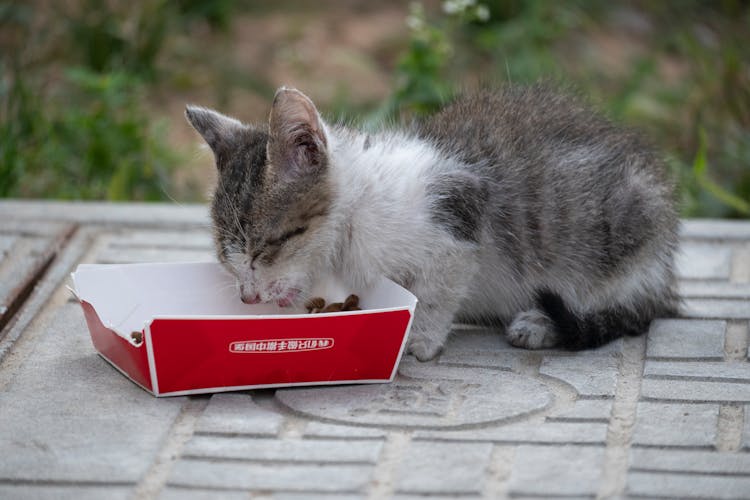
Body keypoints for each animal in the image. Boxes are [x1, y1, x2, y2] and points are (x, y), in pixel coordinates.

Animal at [187, 85, 680, 360]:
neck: (356, 216)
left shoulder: (458, 221)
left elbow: (436, 290)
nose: (248, 297)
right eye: (229, 261)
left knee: (618, 308)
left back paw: (542, 323)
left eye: (263, 248)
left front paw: (418, 338)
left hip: (617, 234)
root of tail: (664, 271)